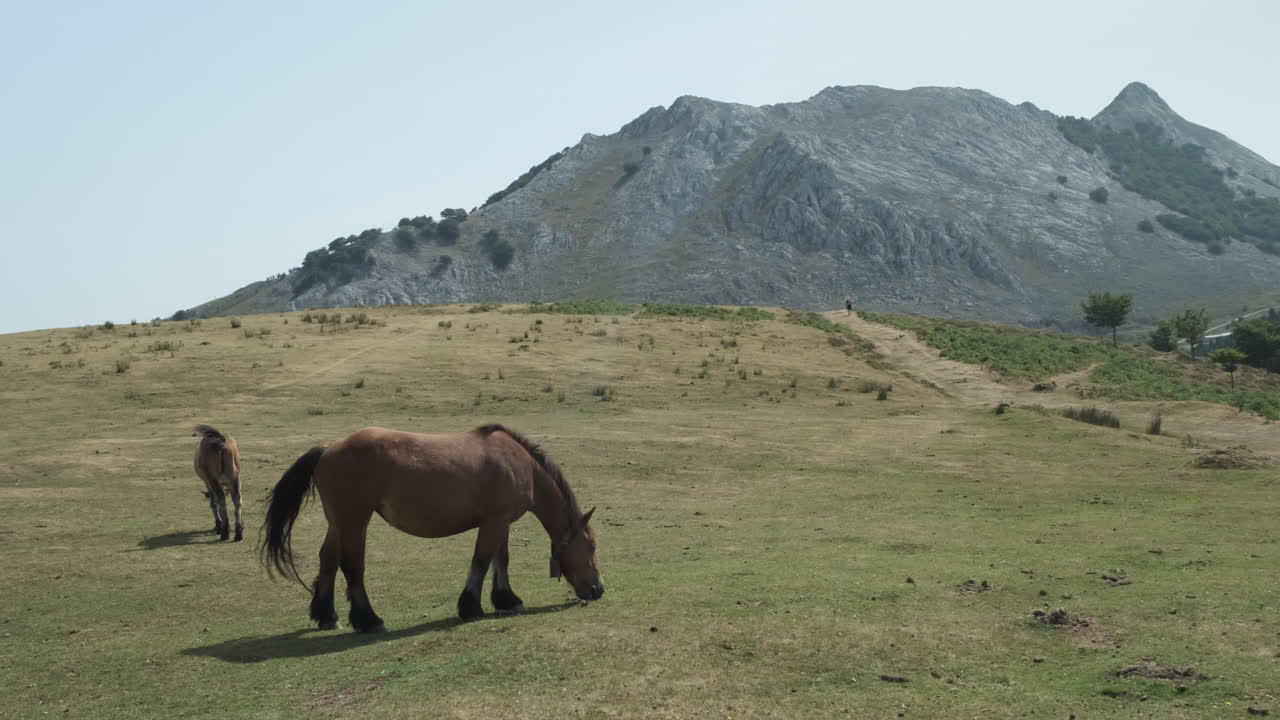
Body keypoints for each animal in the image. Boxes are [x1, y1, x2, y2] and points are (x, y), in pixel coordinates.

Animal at [259, 424, 604, 633]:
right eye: (592, 546)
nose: (598, 589)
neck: (522, 466)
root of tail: (329, 448)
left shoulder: (502, 522)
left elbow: (500, 560)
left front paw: (507, 600)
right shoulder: (494, 521)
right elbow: (482, 561)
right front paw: (471, 606)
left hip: (338, 521)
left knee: (328, 561)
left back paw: (327, 616)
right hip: (355, 520)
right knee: (352, 566)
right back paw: (368, 619)